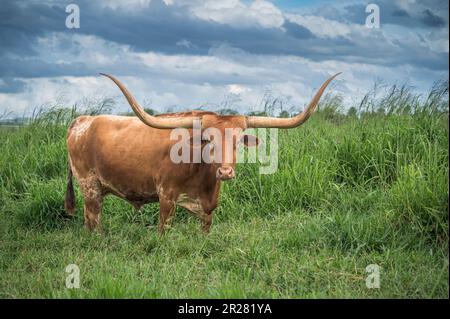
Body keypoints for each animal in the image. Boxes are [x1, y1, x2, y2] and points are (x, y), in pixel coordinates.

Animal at [65, 72, 340, 234]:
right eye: (209, 140)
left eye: (238, 142)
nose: (225, 172)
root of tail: (83, 120)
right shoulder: (166, 198)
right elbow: (163, 231)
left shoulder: (208, 209)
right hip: (90, 186)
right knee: (94, 220)